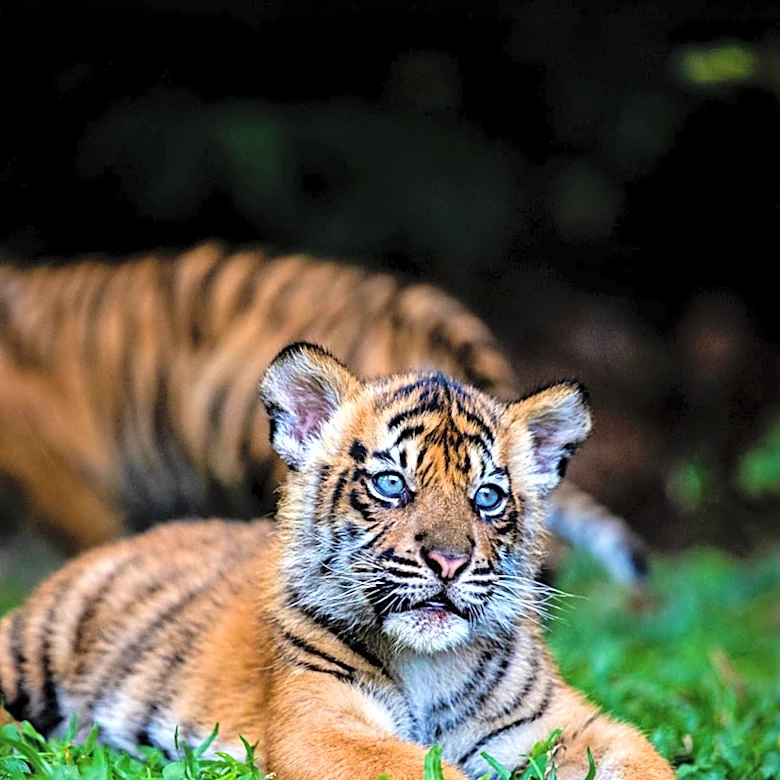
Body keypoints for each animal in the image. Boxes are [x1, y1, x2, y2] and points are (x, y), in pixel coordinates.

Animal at [0, 343, 674, 780]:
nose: (449, 562)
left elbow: (646, 759)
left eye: (487, 496)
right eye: (391, 484)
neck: (430, 667)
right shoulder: (322, 724)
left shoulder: (560, 721)